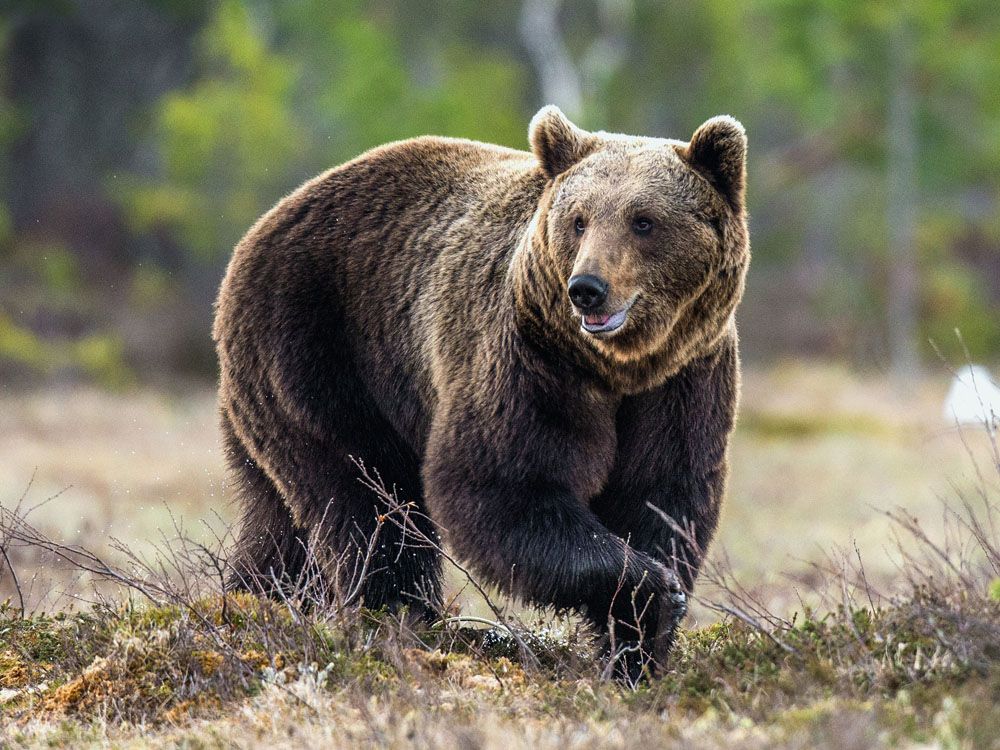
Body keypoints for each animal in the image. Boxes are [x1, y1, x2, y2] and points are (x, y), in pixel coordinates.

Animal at [215, 103, 748, 684]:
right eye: (579, 219)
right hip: (318, 352)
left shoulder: (684, 378)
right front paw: (652, 593)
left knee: (280, 522)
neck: (616, 368)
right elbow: (503, 483)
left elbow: (660, 493)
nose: (587, 288)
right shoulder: (529, 359)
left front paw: (637, 649)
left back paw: (247, 604)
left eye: (644, 220)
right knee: (368, 504)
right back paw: (400, 619)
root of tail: (258, 229)